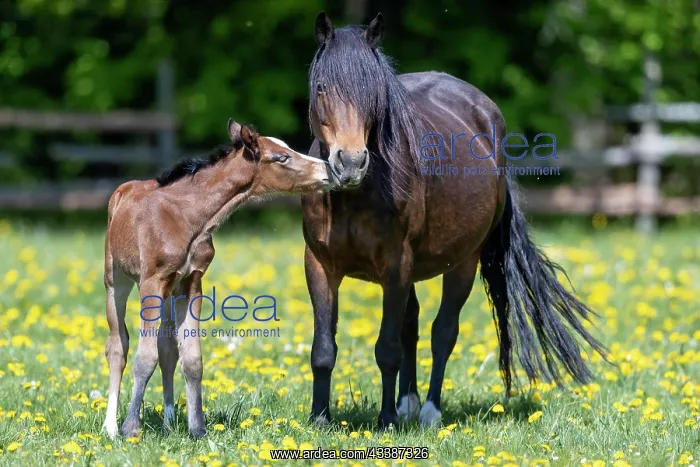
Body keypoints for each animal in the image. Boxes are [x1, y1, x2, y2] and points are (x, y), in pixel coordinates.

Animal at [102, 119, 334, 439]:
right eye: (282, 157)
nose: (330, 169)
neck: (188, 218)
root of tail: (125, 188)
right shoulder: (152, 281)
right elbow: (143, 356)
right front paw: (130, 428)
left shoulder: (191, 282)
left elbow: (190, 356)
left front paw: (197, 428)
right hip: (117, 280)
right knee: (118, 345)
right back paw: (110, 426)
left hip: (170, 292)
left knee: (167, 348)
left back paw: (169, 422)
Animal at [301, 12, 608, 428]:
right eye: (321, 88)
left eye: (374, 93)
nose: (350, 162)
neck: (355, 195)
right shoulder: (320, 265)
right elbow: (324, 348)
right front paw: (320, 419)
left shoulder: (396, 266)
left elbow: (387, 349)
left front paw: (386, 421)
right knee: (412, 325)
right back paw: (409, 403)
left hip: (463, 261)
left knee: (442, 332)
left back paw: (429, 411)